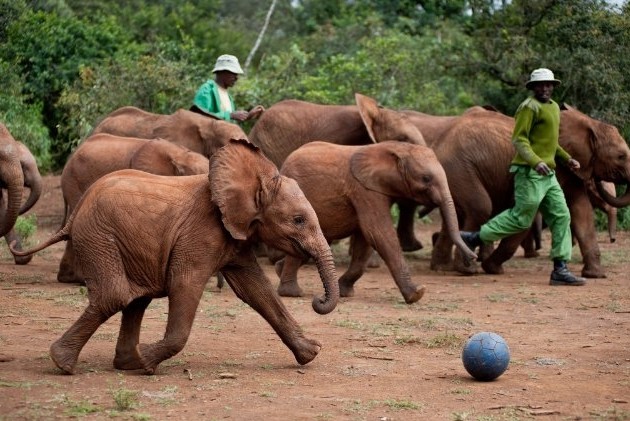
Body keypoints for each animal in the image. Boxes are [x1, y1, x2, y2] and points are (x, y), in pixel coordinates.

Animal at [9, 139, 338, 372]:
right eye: (298, 220)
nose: (317, 300)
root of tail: (76, 212)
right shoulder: (201, 234)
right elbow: (185, 285)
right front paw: (148, 360)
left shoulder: (235, 238)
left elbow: (257, 291)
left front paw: (311, 353)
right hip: (99, 236)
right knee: (115, 296)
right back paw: (65, 363)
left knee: (135, 299)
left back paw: (126, 364)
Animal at [278, 141, 476, 302]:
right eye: (426, 179)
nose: (472, 258)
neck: (397, 148)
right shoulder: (365, 190)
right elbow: (378, 233)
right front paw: (417, 294)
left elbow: (365, 240)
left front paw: (345, 292)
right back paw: (291, 293)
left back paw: (279, 271)